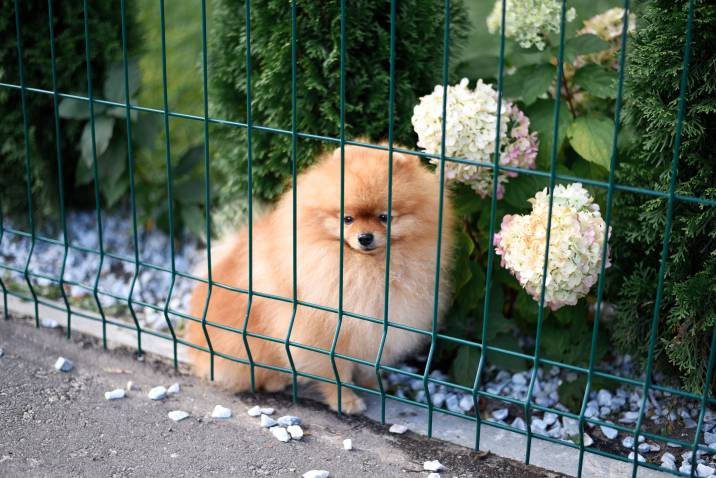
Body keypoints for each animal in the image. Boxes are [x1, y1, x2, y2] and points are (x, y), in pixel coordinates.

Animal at [185, 140, 454, 412]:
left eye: (384, 217)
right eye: (347, 219)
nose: (365, 237)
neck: (364, 269)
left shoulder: (374, 330)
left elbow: (369, 365)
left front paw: (373, 385)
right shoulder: (322, 334)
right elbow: (336, 372)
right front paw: (346, 401)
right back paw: (275, 380)